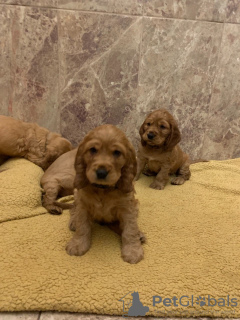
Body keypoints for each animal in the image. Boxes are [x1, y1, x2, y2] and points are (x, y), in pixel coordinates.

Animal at [66, 124, 144, 264]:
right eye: (93, 150)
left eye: (117, 152)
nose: (101, 172)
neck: (103, 189)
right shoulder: (83, 205)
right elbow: (82, 226)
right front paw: (77, 244)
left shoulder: (127, 208)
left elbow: (130, 229)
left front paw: (133, 251)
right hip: (76, 194)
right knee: (72, 208)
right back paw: (73, 222)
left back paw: (139, 234)